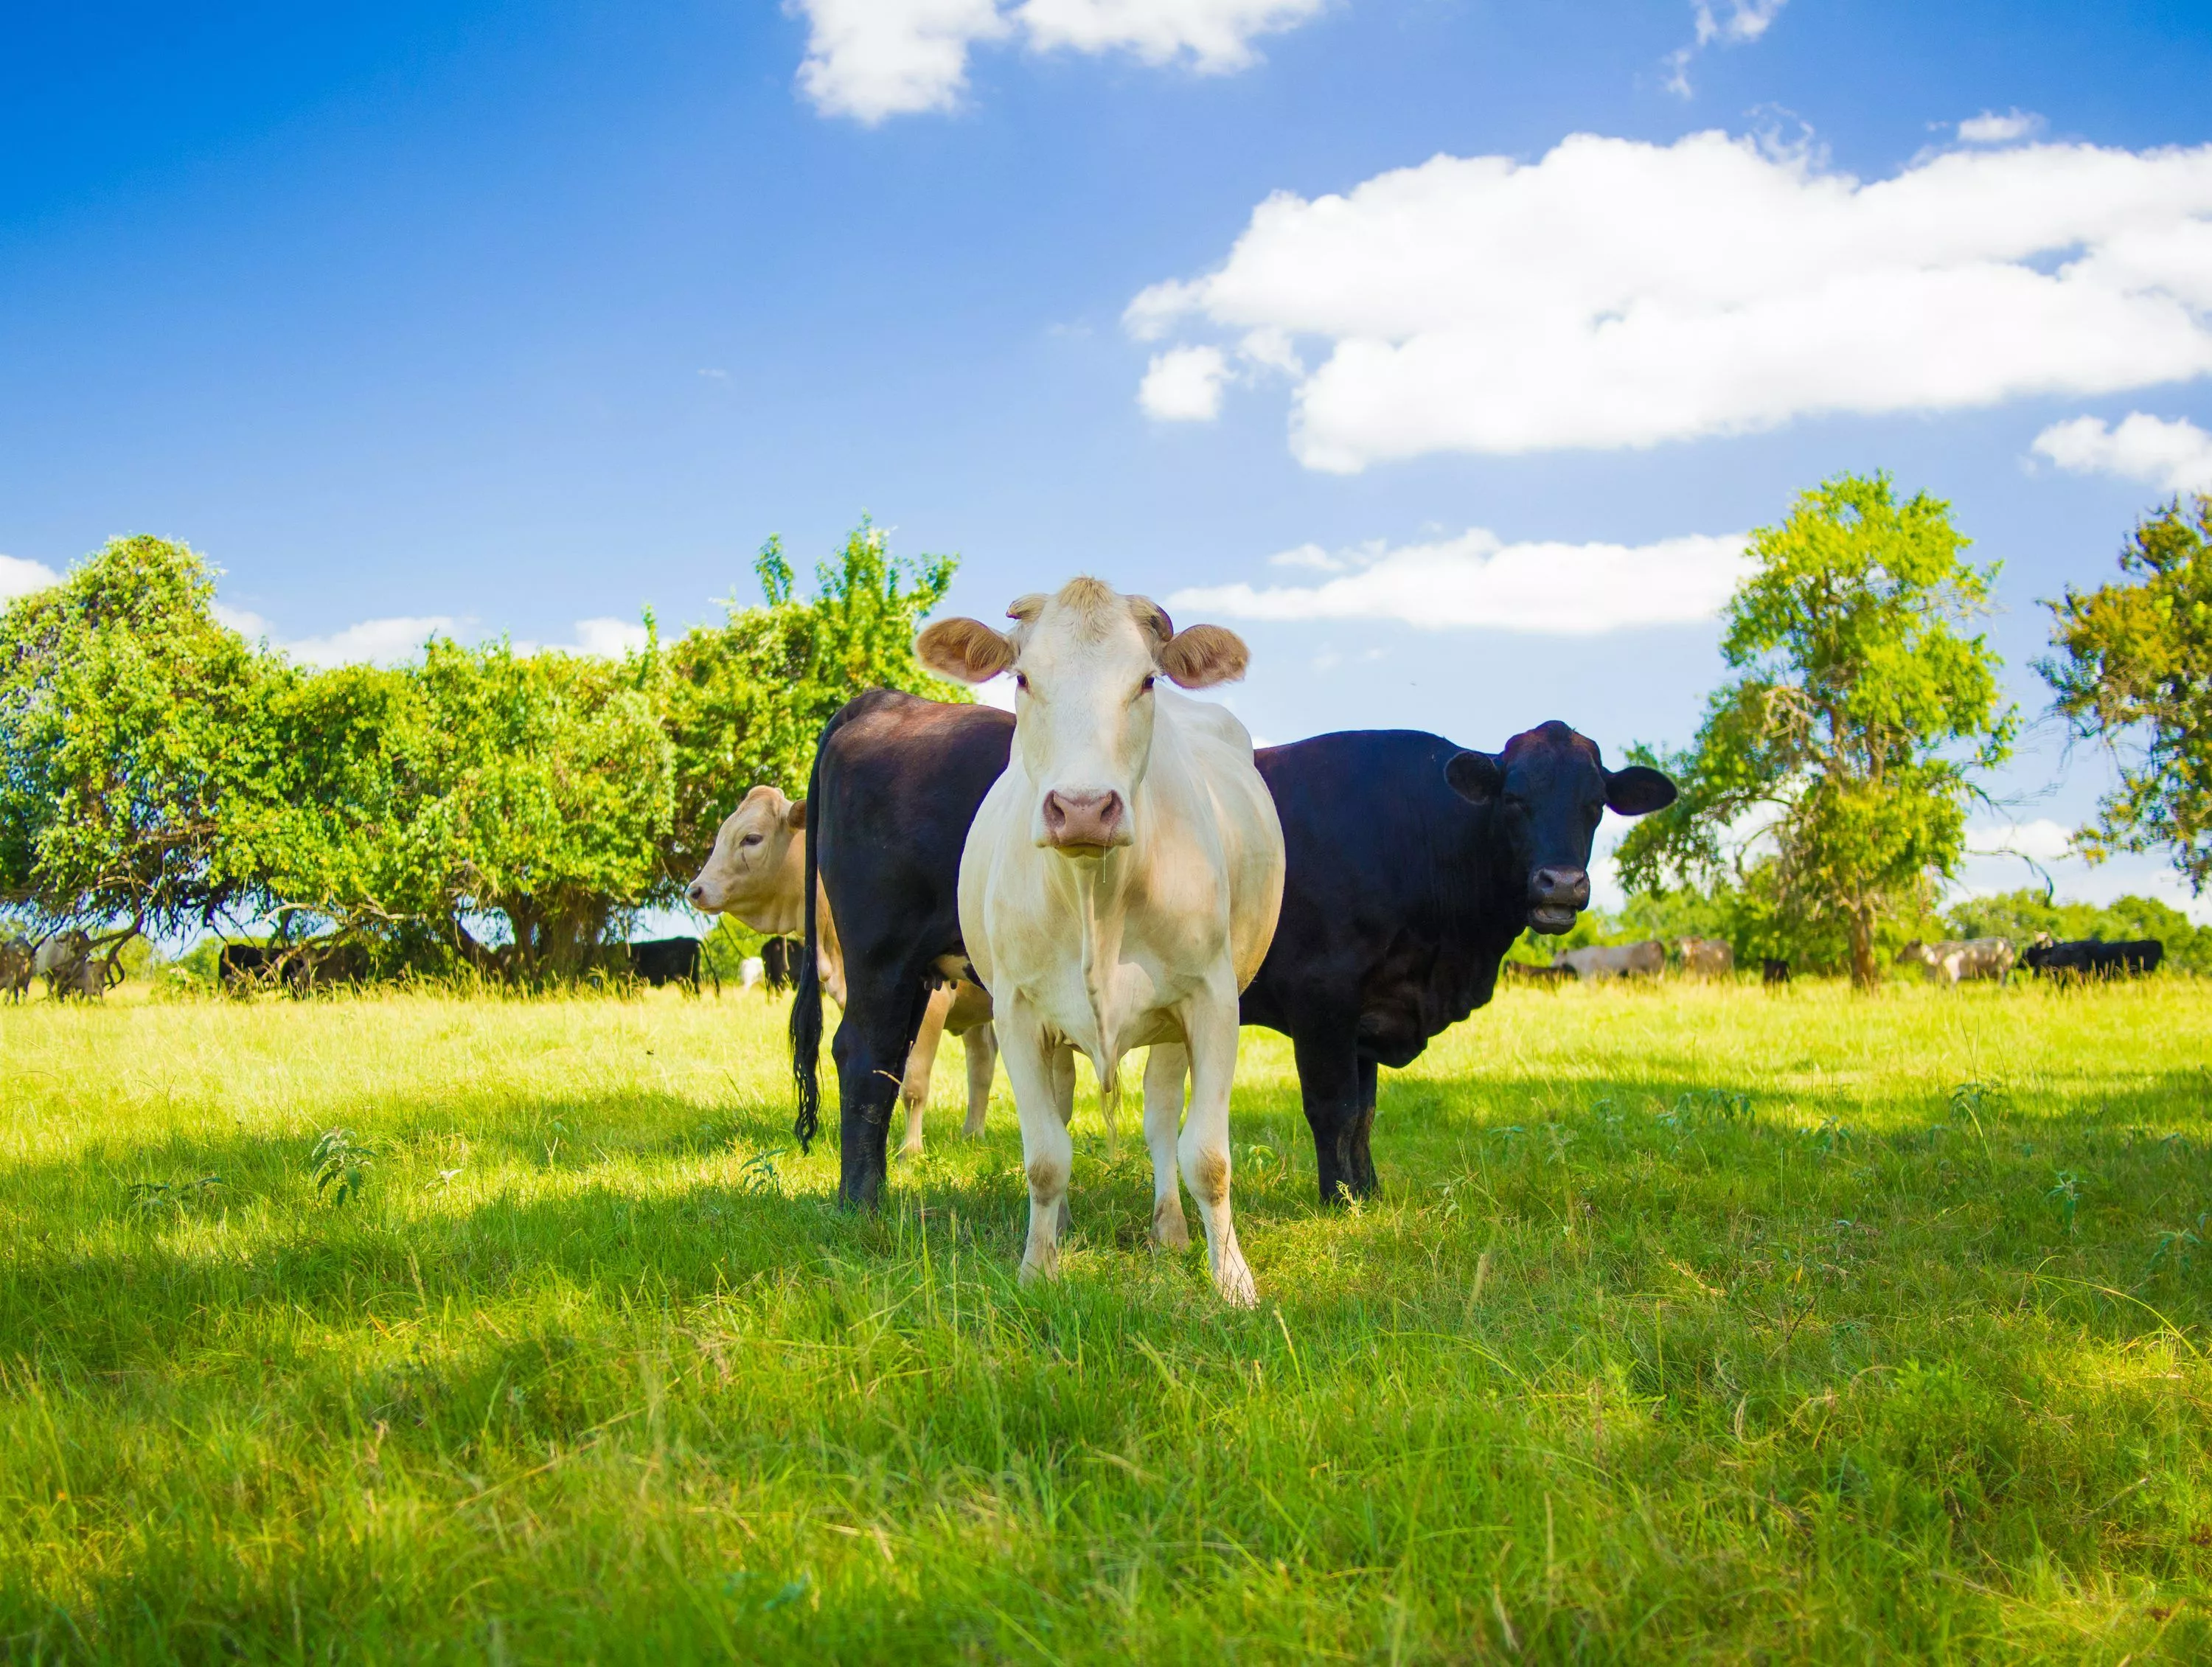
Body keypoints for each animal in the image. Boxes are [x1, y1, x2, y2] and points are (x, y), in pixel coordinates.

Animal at [688, 783, 999, 1156]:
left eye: (751, 838)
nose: (695, 889)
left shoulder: (931, 1005)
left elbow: (913, 1085)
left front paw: (910, 1152)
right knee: (982, 1060)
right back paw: (973, 1135)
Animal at [918, 578, 1284, 1303]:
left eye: (1145, 681)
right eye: (1023, 678)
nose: (1083, 808)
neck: (1094, 895)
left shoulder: (1213, 1000)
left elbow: (1208, 1155)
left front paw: (1232, 1278)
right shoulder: (1016, 1010)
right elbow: (1044, 1157)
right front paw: (1038, 1267)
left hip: (1172, 1023)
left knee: (1161, 1114)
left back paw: (1170, 1228)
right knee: (1063, 1110)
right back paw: (1060, 1225)